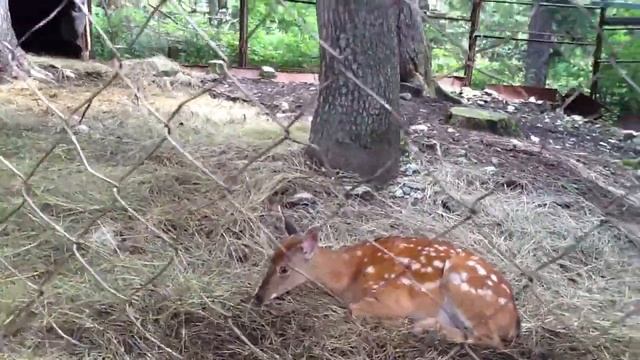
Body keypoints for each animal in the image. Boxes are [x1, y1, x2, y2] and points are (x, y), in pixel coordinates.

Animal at [252, 212, 524, 350]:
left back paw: (422, 329)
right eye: (270, 259)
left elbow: (354, 309)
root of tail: (514, 320)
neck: (348, 274)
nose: (257, 298)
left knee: (489, 338)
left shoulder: (392, 296)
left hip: (463, 286)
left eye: (284, 269)